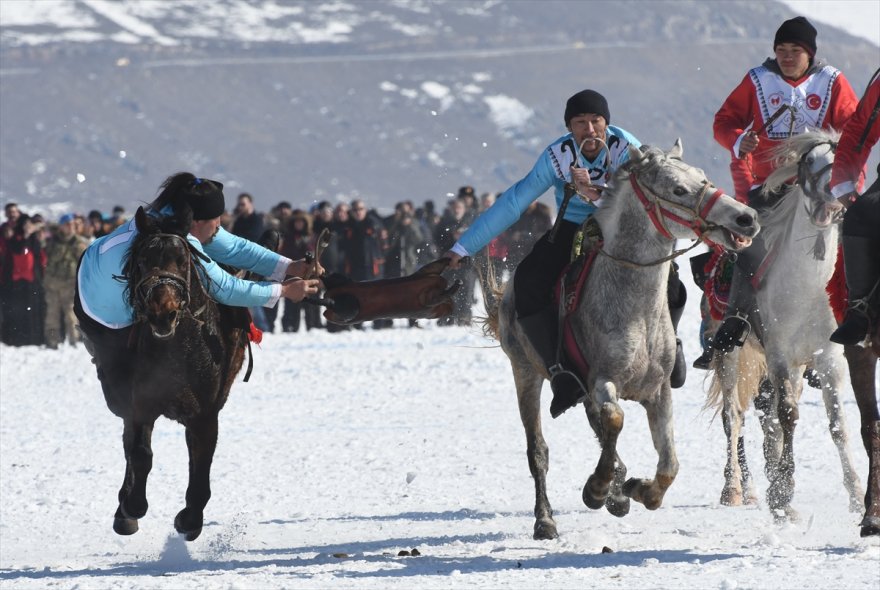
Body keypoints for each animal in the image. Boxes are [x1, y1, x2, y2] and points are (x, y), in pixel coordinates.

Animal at [75, 207, 248, 540]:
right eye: (142, 260)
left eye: (183, 260)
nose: (162, 312)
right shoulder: (142, 403)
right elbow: (140, 453)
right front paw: (131, 507)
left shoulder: (205, 412)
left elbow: (201, 460)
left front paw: (189, 519)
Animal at [478, 141, 760, 540]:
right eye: (678, 189)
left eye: (702, 177)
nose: (746, 217)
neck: (636, 310)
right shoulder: (603, 380)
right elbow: (614, 420)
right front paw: (597, 488)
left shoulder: (658, 391)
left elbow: (669, 464)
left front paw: (635, 489)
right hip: (525, 372)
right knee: (539, 451)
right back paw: (546, 519)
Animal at [708, 130, 868, 524]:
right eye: (807, 164)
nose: (828, 207)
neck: (808, 288)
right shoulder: (779, 355)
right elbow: (789, 415)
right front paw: (782, 496)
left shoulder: (827, 358)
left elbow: (837, 424)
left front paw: (857, 496)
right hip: (730, 355)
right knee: (734, 416)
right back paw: (735, 489)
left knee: (766, 420)